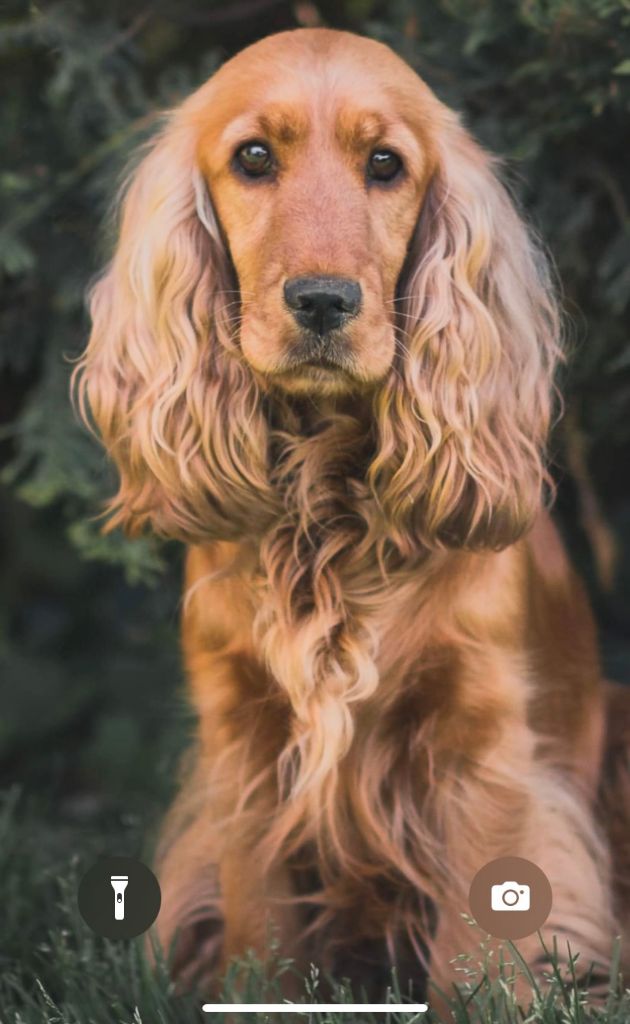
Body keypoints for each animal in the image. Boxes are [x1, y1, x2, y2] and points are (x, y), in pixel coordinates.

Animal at [75, 28, 630, 1003]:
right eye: (254, 157)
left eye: (385, 164)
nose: (325, 301)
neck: (325, 505)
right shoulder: (246, 744)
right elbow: (262, 944)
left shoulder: (479, 740)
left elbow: (473, 953)